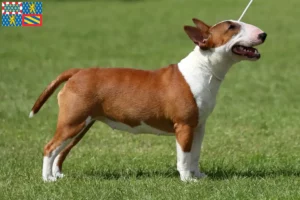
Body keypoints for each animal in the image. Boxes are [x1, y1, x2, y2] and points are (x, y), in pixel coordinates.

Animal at [29, 18, 268, 181]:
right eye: (231, 27)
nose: (263, 34)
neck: (204, 68)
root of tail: (77, 72)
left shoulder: (199, 126)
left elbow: (195, 154)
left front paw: (198, 175)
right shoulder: (184, 126)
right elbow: (184, 155)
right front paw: (187, 179)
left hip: (81, 124)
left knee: (61, 150)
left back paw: (56, 175)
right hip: (73, 122)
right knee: (50, 148)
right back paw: (47, 179)